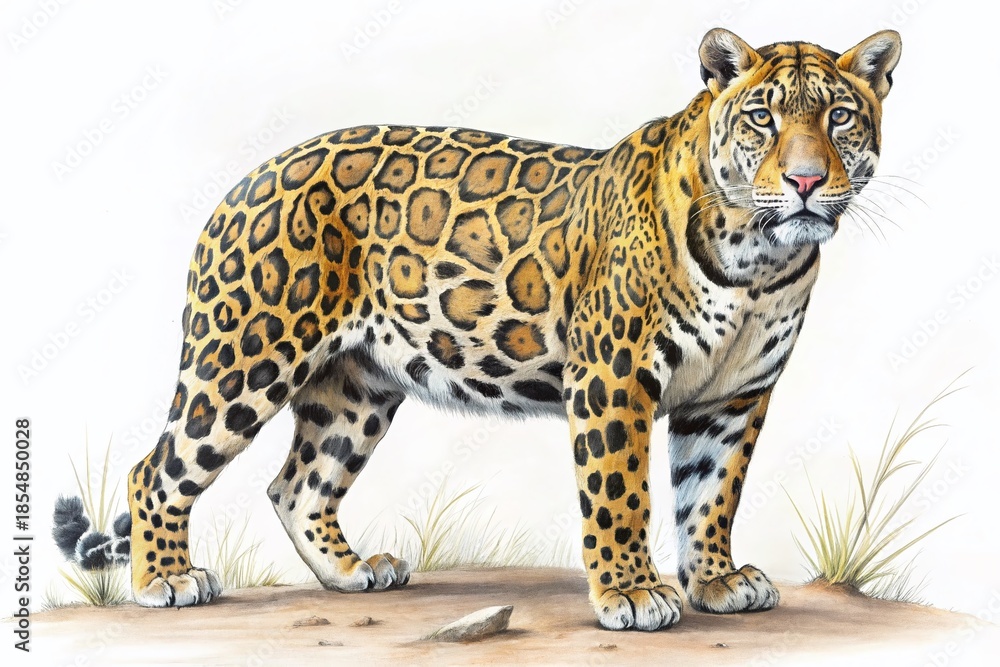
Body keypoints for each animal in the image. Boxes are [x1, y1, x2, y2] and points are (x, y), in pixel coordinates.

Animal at [126, 28, 901, 631]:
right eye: (762, 120)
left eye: (839, 117)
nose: (805, 182)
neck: (758, 259)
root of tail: (249, 177)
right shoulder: (614, 375)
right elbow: (621, 491)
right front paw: (630, 593)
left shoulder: (734, 395)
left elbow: (710, 494)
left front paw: (715, 580)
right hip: (245, 356)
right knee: (159, 469)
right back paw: (165, 580)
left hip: (356, 387)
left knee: (298, 484)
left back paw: (351, 572)